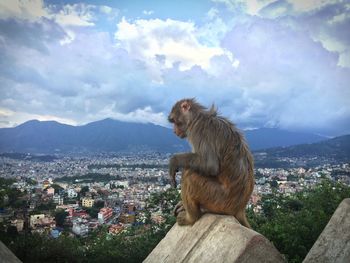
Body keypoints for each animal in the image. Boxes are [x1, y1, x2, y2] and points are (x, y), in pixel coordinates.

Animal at [167, 98, 254, 228]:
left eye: (174, 121)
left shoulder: (199, 130)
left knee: (189, 175)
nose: (173, 131)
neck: (196, 118)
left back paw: (191, 218)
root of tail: (240, 208)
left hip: (218, 200)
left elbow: (210, 165)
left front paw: (174, 160)